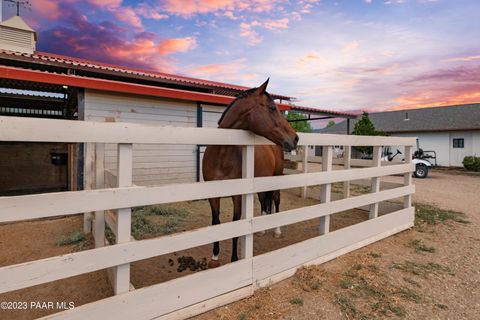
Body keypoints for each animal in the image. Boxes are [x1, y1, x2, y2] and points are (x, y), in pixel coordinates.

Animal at [202, 80, 298, 264]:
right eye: (272, 108)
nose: (295, 138)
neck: (221, 155)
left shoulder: (238, 195)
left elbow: (236, 223)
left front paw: (234, 259)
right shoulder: (213, 194)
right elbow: (216, 221)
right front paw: (215, 255)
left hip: (276, 179)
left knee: (276, 200)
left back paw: (276, 231)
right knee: (263, 201)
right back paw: (261, 230)